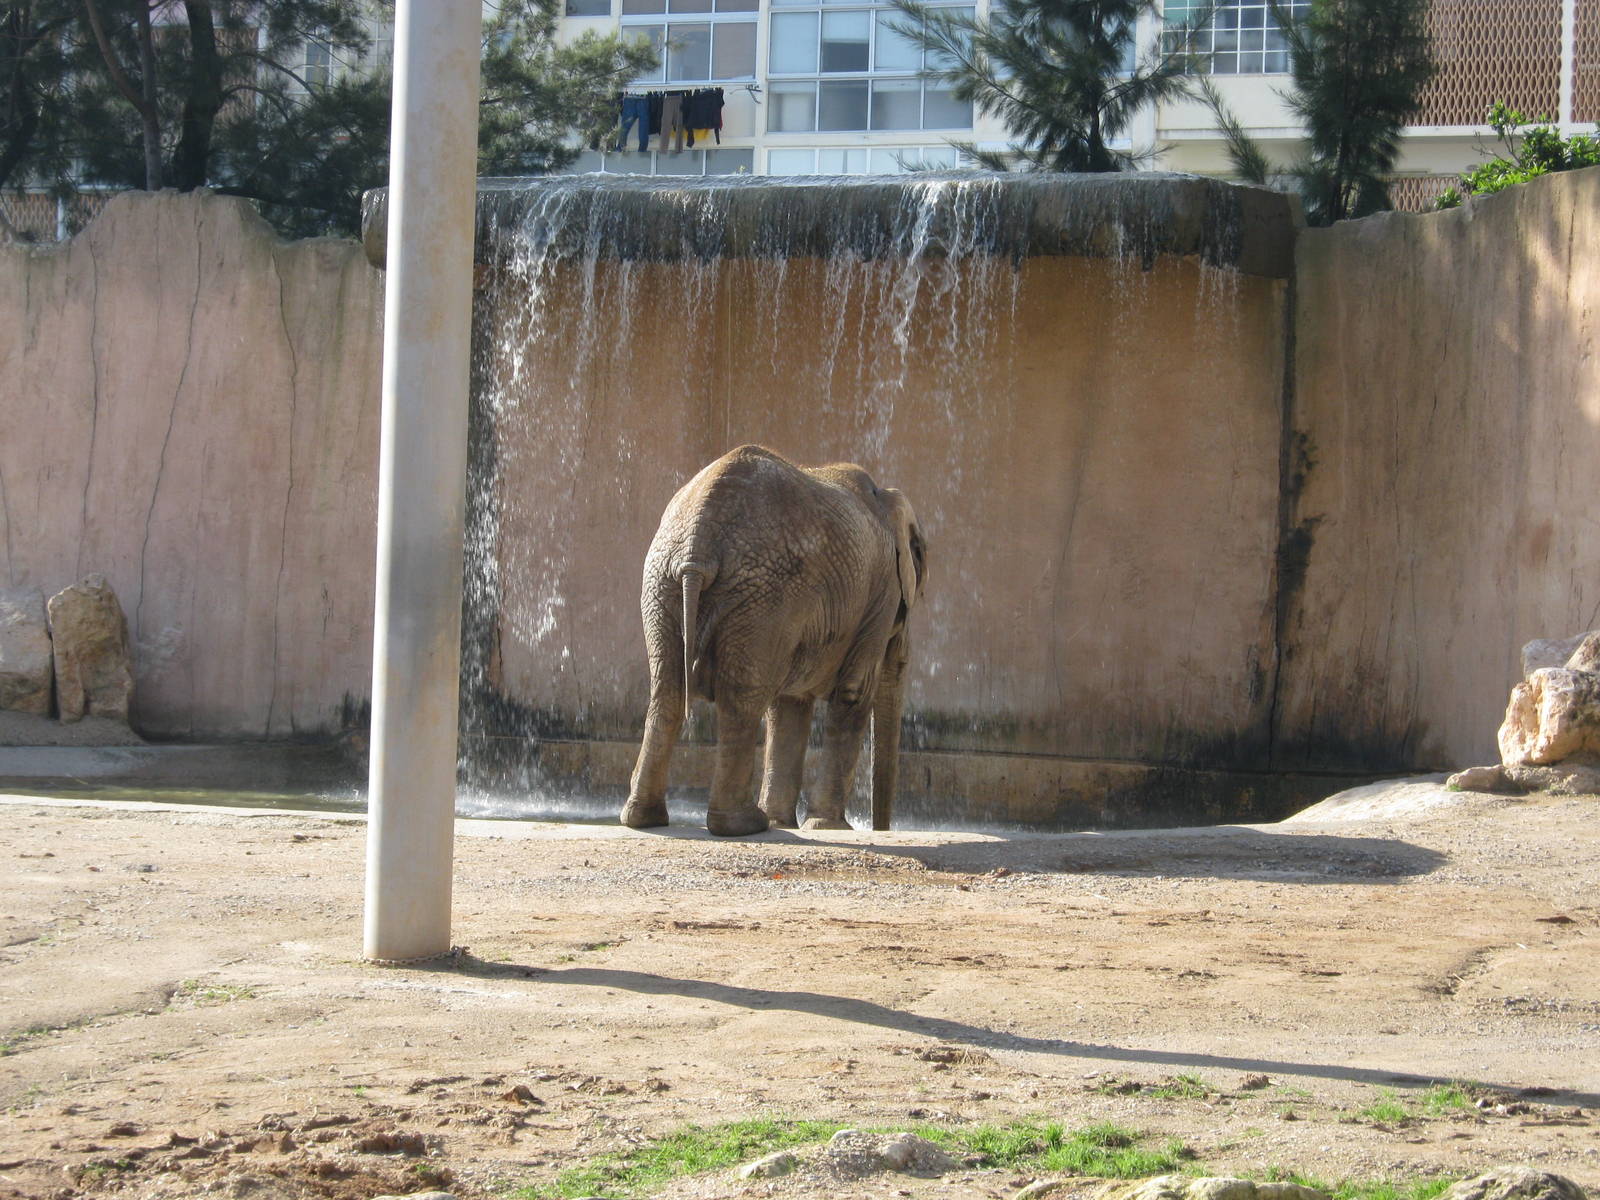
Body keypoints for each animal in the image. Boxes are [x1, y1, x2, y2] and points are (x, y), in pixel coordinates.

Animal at [620, 444, 927, 837]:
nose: (881, 830)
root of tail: (699, 537)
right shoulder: (882, 590)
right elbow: (852, 692)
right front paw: (829, 829)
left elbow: (789, 704)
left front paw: (787, 823)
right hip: (766, 592)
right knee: (741, 697)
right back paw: (744, 825)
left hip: (665, 584)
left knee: (667, 688)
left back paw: (645, 819)